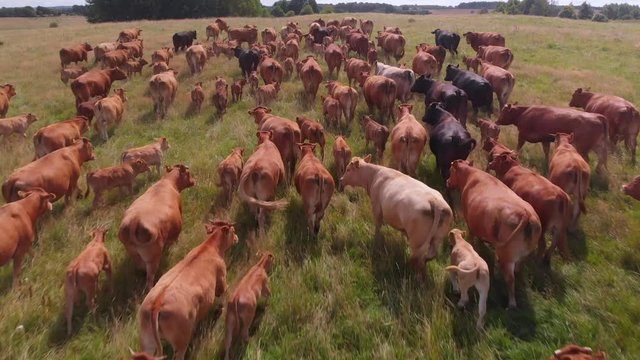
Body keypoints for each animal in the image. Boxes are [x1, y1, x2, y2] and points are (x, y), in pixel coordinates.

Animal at [138, 219, 238, 358]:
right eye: (233, 230)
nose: (237, 238)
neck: (208, 247)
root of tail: (156, 305)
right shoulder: (222, 278)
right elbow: (224, 294)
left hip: (147, 341)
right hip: (181, 341)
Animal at [448, 160, 544, 306]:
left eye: (450, 171)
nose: (447, 181)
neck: (470, 176)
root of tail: (526, 214)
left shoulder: (470, 224)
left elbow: (472, 238)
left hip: (507, 256)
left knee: (510, 279)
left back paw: (511, 303)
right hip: (523, 255)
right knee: (518, 270)